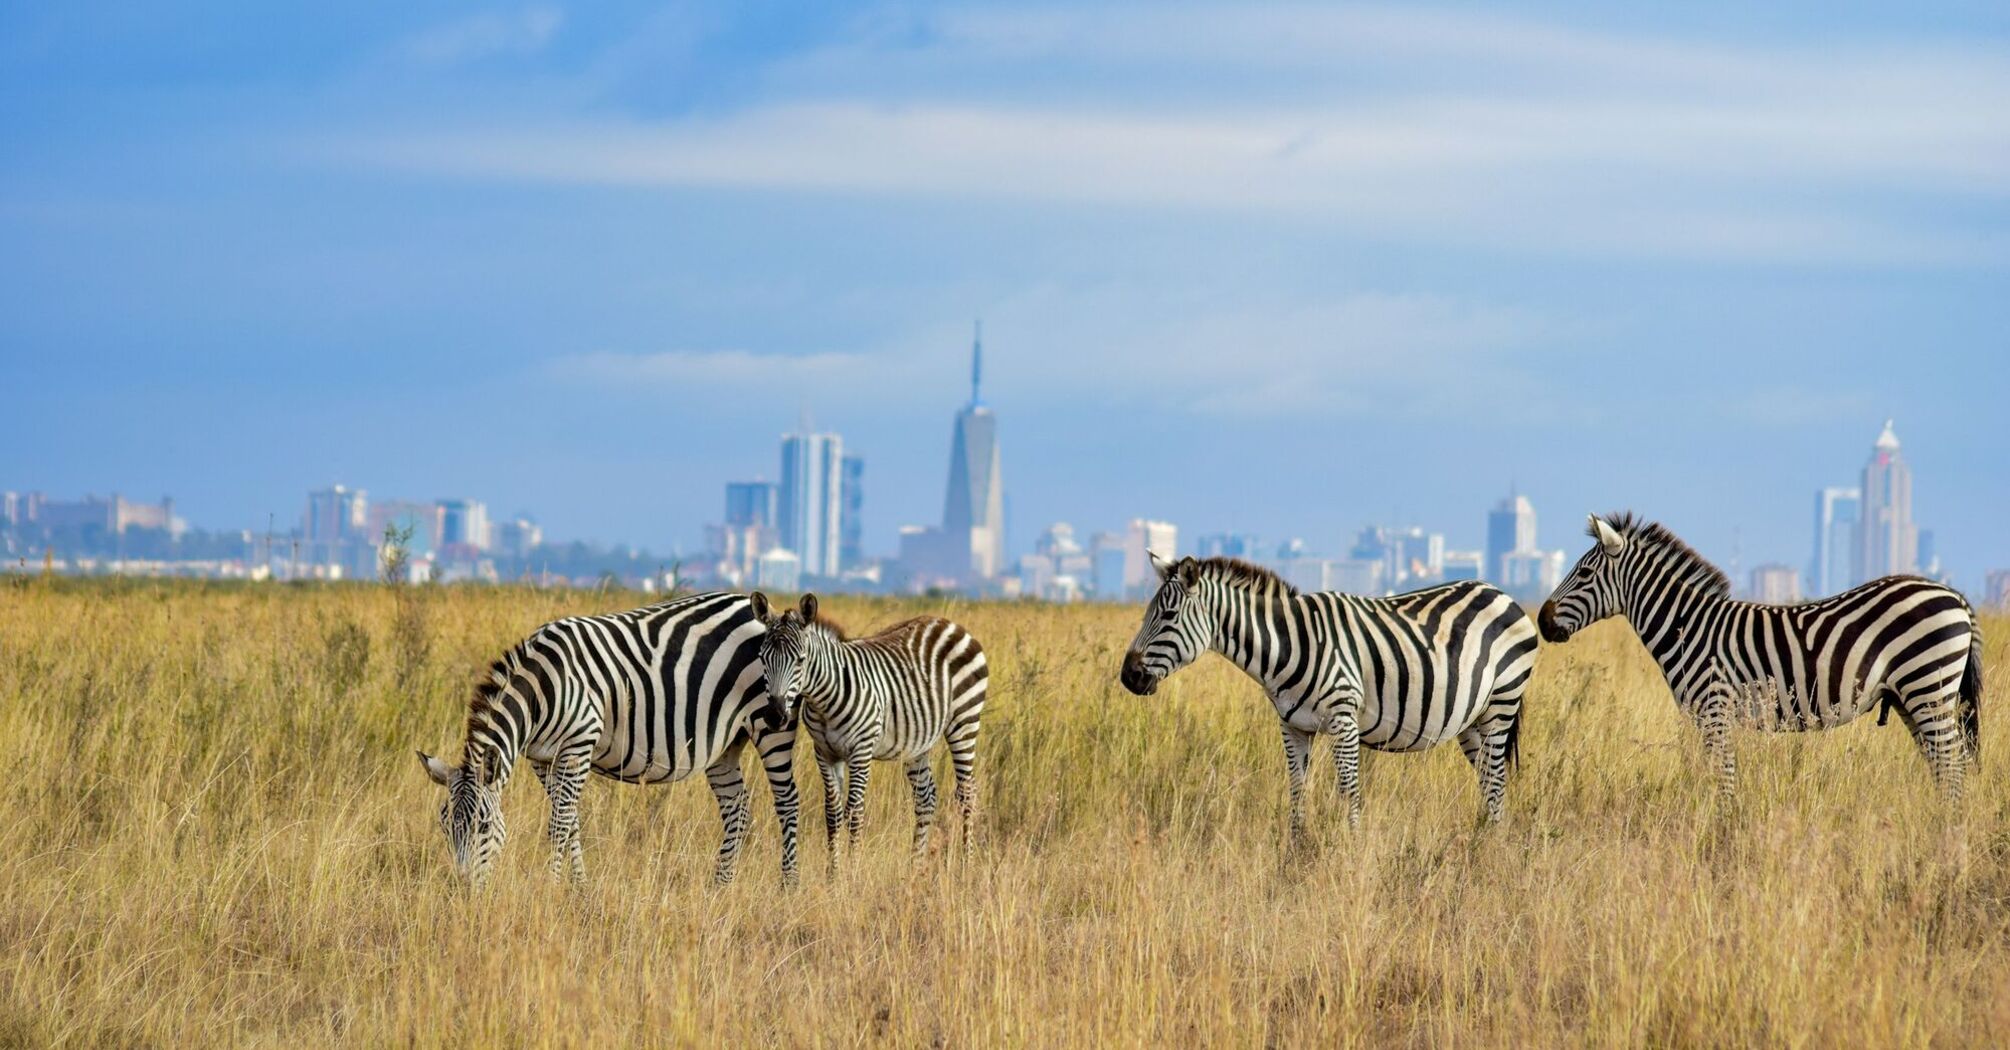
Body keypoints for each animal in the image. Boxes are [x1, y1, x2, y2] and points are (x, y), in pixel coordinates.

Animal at [416, 590, 801, 888]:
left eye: (483, 826)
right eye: (444, 826)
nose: (464, 888)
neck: (541, 689)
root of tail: (754, 608)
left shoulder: (579, 744)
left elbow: (559, 824)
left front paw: (552, 888)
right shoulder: (542, 758)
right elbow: (571, 823)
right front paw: (580, 888)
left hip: (771, 723)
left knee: (787, 801)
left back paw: (788, 886)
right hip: (725, 742)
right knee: (737, 806)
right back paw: (721, 886)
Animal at [751, 591, 987, 870]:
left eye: (800, 660)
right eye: (762, 658)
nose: (775, 716)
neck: (824, 700)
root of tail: (949, 623)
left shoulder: (860, 751)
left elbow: (854, 812)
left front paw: (852, 872)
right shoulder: (824, 752)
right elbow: (832, 813)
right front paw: (833, 873)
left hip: (965, 721)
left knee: (967, 793)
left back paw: (966, 864)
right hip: (918, 741)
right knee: (925, 798)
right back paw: (915, 866)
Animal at [1118, 553, 1541, 841]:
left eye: (1168, 616)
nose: (1128, 676)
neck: (1287, 646)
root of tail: (1501, 593)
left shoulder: (1343, 719)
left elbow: (1348, 791)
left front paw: (1351, 852)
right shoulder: (1292, 726)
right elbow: (1296, 791)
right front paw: (1295, 853)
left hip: (1502, 703)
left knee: (1497, 780)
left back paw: (1490, 848)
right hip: (1472, 720)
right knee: (1487, 780)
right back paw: (1484, 840)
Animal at [1538, 512, 1983, 801]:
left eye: (1583, 574)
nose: (1542, 621)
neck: (1688, 627)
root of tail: (1955, 595)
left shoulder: (1714, 711)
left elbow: (1724, 780)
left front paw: (1723, 834)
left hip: (1927, 686)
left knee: (1952, 764)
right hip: (1912, 697)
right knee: (1943, 764)